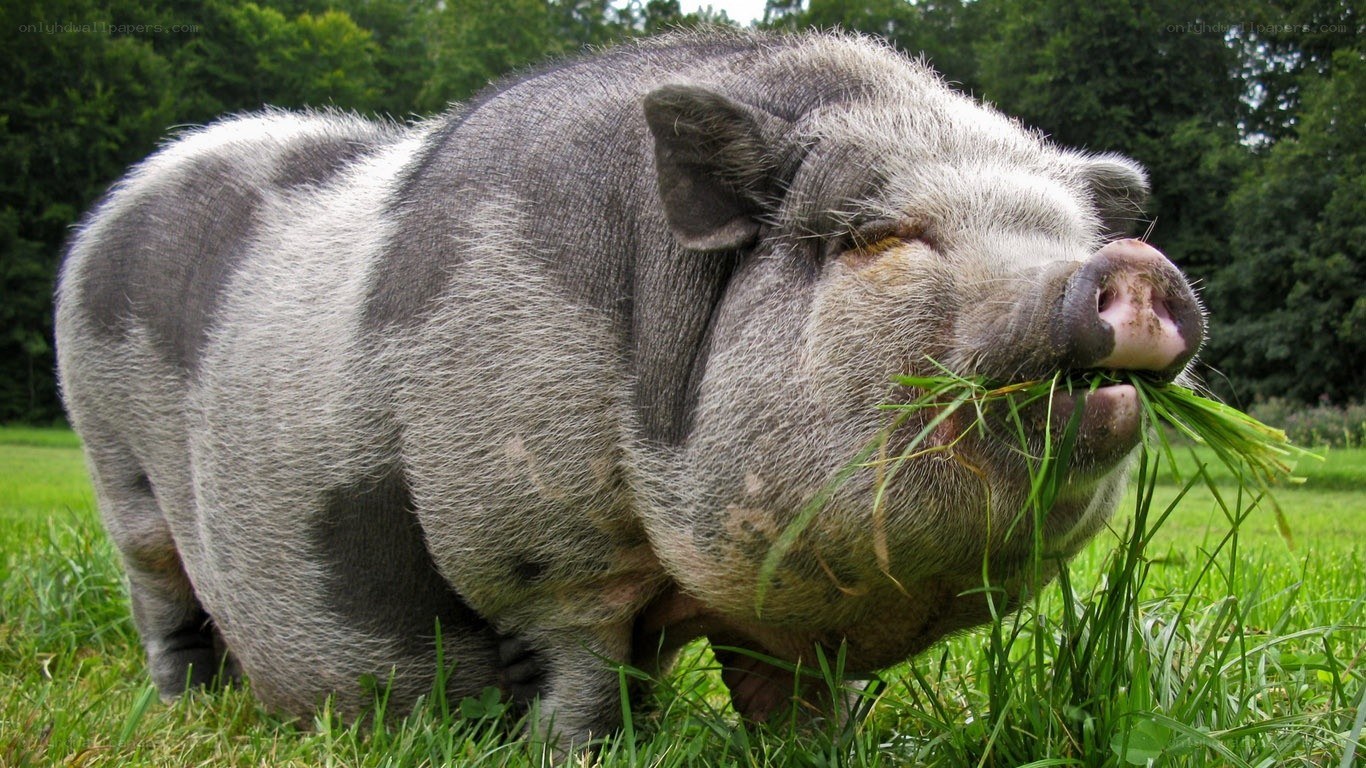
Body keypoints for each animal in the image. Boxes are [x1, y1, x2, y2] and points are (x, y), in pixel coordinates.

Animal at [54, 30, 1204, 748]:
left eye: (1071, 231)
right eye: (881, 237)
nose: (1130, 266)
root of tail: (111, 206)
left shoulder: (785, 618)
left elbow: (795, 700)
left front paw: (821, 752)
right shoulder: (536, 543)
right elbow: (580, 672)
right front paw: (592, 753)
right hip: (115, 465)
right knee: (163, 599)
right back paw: (186, 714)